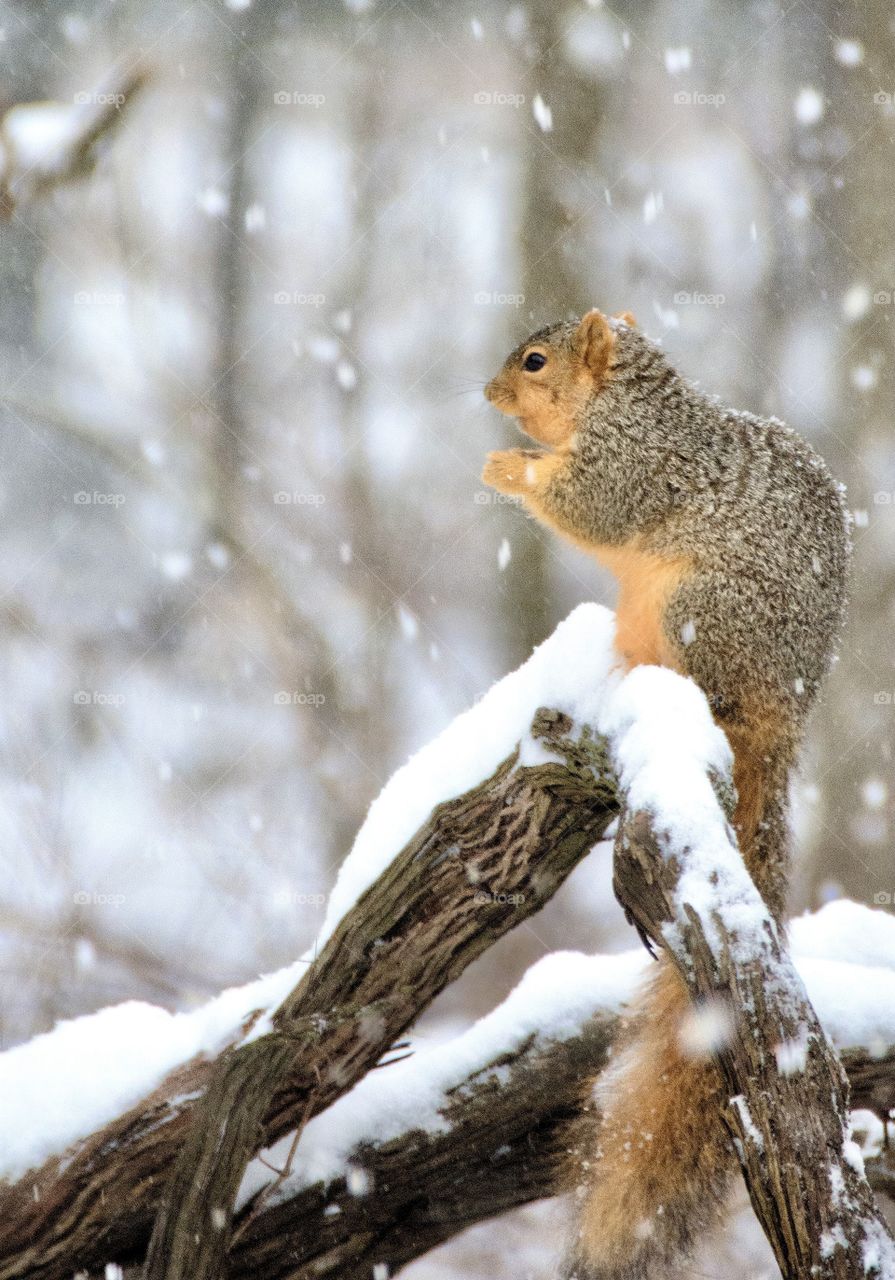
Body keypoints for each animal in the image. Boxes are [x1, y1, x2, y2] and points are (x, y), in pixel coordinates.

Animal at [482, 309, 850, 1280]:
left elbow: (586, 504)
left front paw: (504, 467)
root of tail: (785, 716)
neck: (622, 402)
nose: (488, 393)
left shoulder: (633, 464)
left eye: (536, 361)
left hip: (700, 609)